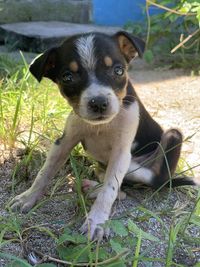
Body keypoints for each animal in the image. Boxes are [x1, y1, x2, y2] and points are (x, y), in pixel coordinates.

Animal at [9, 30, 197, 241]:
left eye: (118, 71)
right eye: (67, 77)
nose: (98, 103)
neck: (102, 126)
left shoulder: (121, 152)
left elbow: (109, 189)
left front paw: (96, 222)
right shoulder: (64, 141)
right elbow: (45, 172)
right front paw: (28, 197)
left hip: (172, 136)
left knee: (145, 180)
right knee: (118, 186)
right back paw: (91, 186)